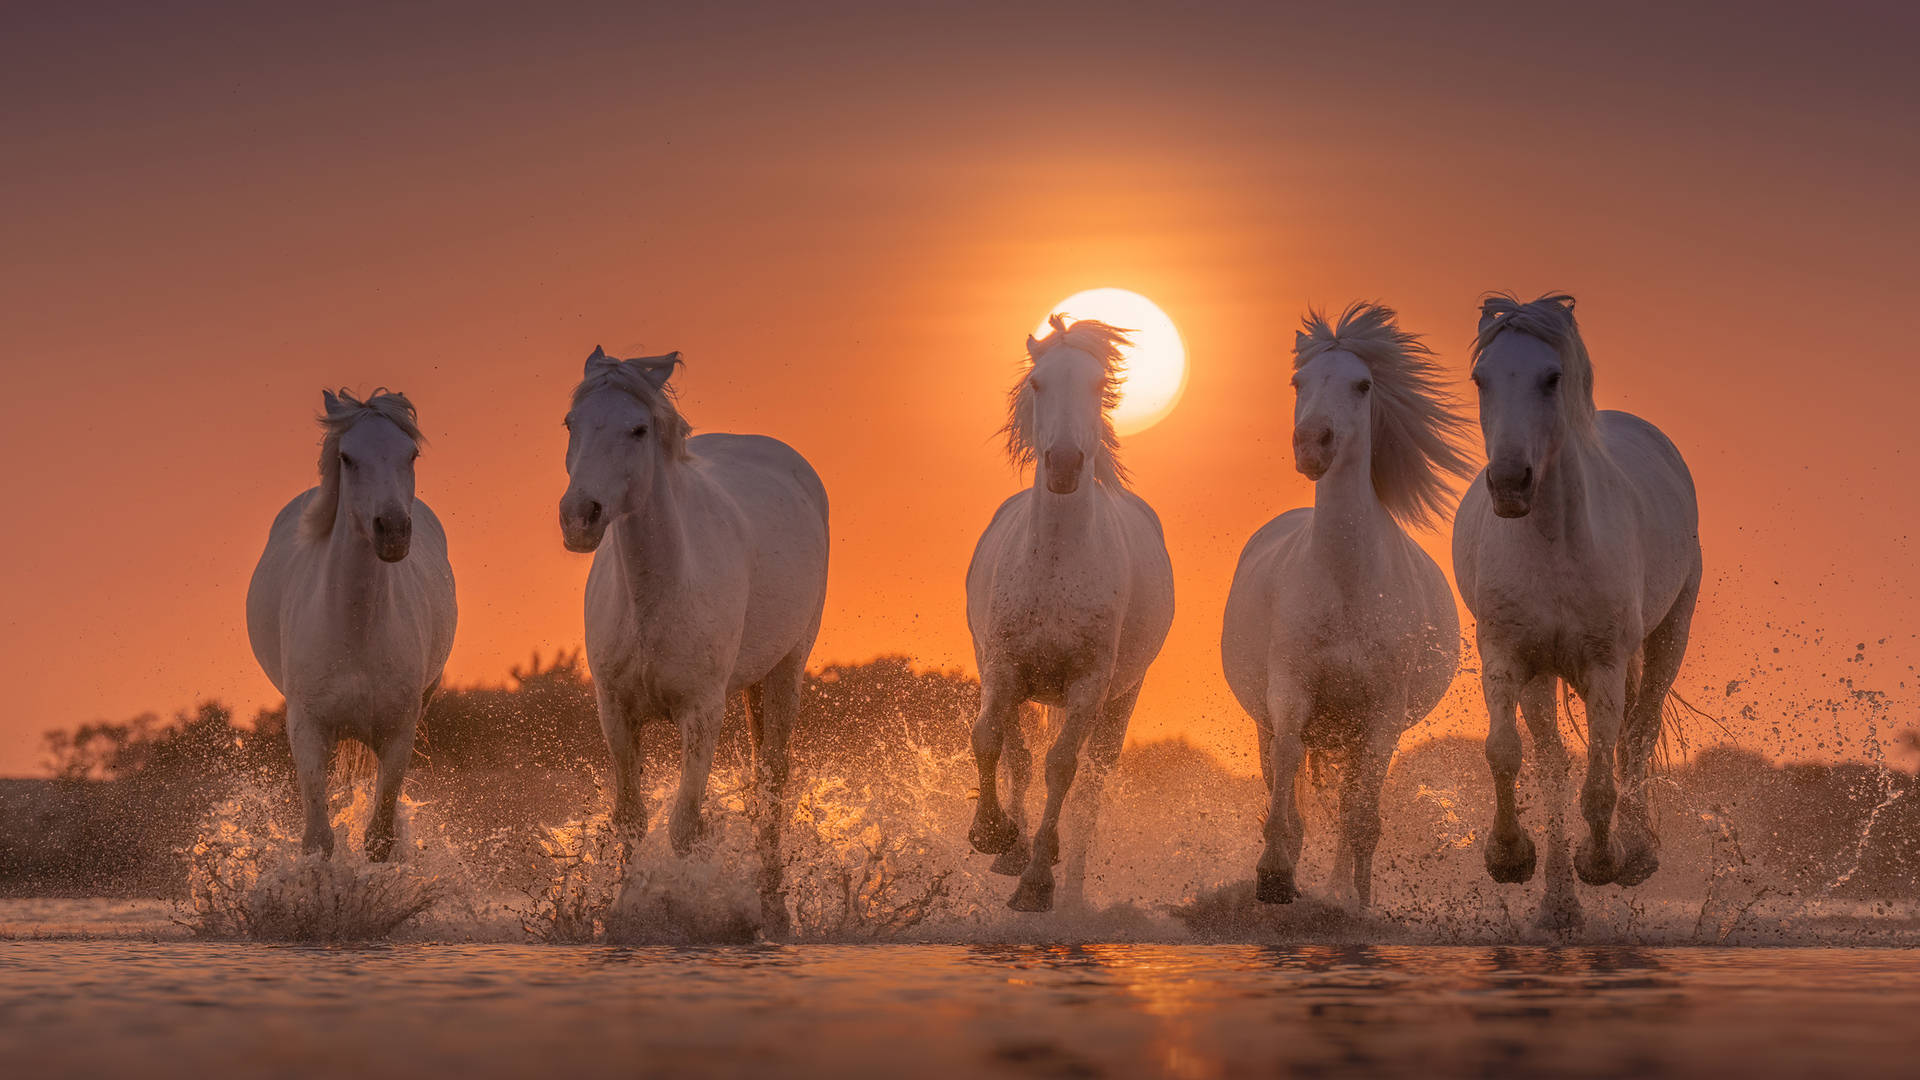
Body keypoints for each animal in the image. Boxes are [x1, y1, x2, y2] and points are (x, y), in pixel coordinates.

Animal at [246, 389, 457, 862]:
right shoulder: (308, 730)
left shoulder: (398, 734)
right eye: (347, 457)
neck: (355, 631)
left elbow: (378, 838)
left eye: (411, 454)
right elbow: (318, 840)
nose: (392, 530)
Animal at [558, 345, 829, 937]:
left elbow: (684, 826)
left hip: (786, 669)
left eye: (638, 429)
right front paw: (624, 913)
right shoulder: (614, 711)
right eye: (571, 424)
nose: (578, 517)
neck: (655, 595)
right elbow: (631, 820)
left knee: (772, 787)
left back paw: (773, 910)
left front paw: (684, 910)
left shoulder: (702, 712)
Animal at [965, 315, 1176, 913]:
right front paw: (993, 836)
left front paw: (1038, 884)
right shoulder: (1003, 667)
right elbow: (992, 741)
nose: (1063, 465)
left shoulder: (1088, 683)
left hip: (1119, 699)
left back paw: (1071, 885)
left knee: (1088, 791)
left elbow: (1061, 767)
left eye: (1098, 385)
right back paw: (1014, 848)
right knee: (1018, 754)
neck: (1057, 562)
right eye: (1038, 383)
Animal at [1221, 303, 1475, 907]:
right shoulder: (1290, 692)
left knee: (1348, 801)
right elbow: (1287, 781)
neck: (1346, 585)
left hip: (1354, 733)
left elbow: (1360, 815)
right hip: (1278, 722)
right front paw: (1274, 874)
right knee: (1287, 775)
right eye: (1298, 382)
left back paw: (1340, 889)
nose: (1312, 444)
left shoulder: (1381, 715)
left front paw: (1356, 903)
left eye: (1363, 385)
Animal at [1453, 293, 1701, 930]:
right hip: (1541, 676)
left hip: (1669, 637)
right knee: (1551, 764)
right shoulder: (1507, 658)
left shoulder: (1605, 666)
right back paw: (1559, 907)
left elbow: (1601, 778)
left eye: (1552, 377)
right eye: (1482, 378)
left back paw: (1635, 855)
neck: (1553, 542)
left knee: (1636, 738)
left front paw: (1604, 859)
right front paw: (1509, 857)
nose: (1509, 483)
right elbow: (1506, 754)